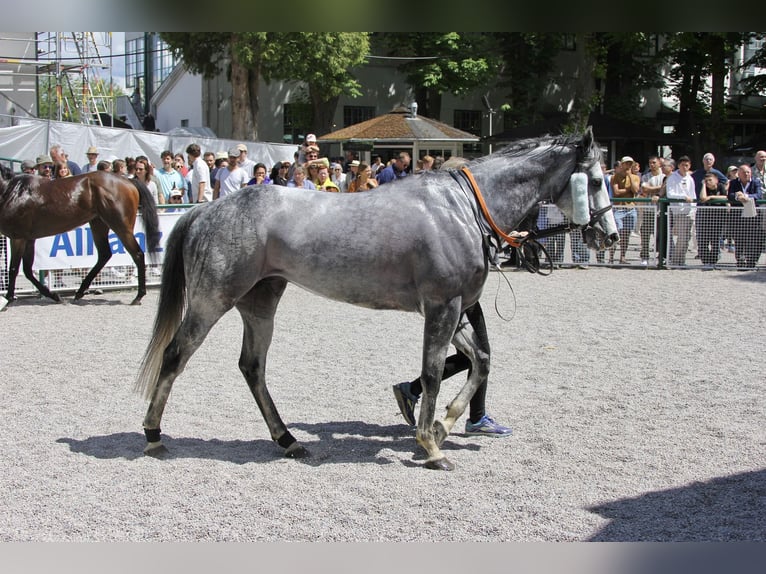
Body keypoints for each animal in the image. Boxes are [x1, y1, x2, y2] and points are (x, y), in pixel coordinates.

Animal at [0, 170, 160, 306]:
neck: (12, 191)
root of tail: (128, 180)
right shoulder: (28, 239)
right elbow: (27, 270)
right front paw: (54, 296)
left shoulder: (18, 238)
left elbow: (13, 269)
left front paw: (8, 299)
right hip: (98, 223)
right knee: (104, 255)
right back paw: (80, 291)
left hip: (121, 226)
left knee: (137, 254)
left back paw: (138, 296)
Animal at [135, 128, 620, 470]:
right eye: (596, 180)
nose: (610, 235)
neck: (460, 208)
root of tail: (208, 208)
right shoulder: (442, 307)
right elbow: (431, 372)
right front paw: (431, 446)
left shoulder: (457, 309)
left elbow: (480, 361)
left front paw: (443, 425)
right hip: (211, 301)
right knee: (176, 355)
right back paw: (153, 434)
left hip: (260, 304)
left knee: (252, 367)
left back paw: (288, 440)